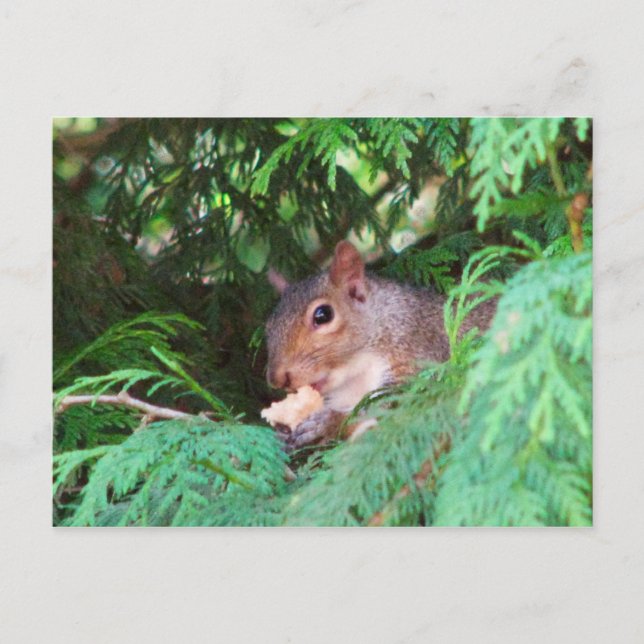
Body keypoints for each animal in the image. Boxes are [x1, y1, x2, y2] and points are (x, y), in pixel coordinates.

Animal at [265, 241, 496, 448]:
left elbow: (396, 404)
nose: (277, 379)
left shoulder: (415, 352)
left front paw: (328, 423)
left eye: (323, 315)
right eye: (268, 327)